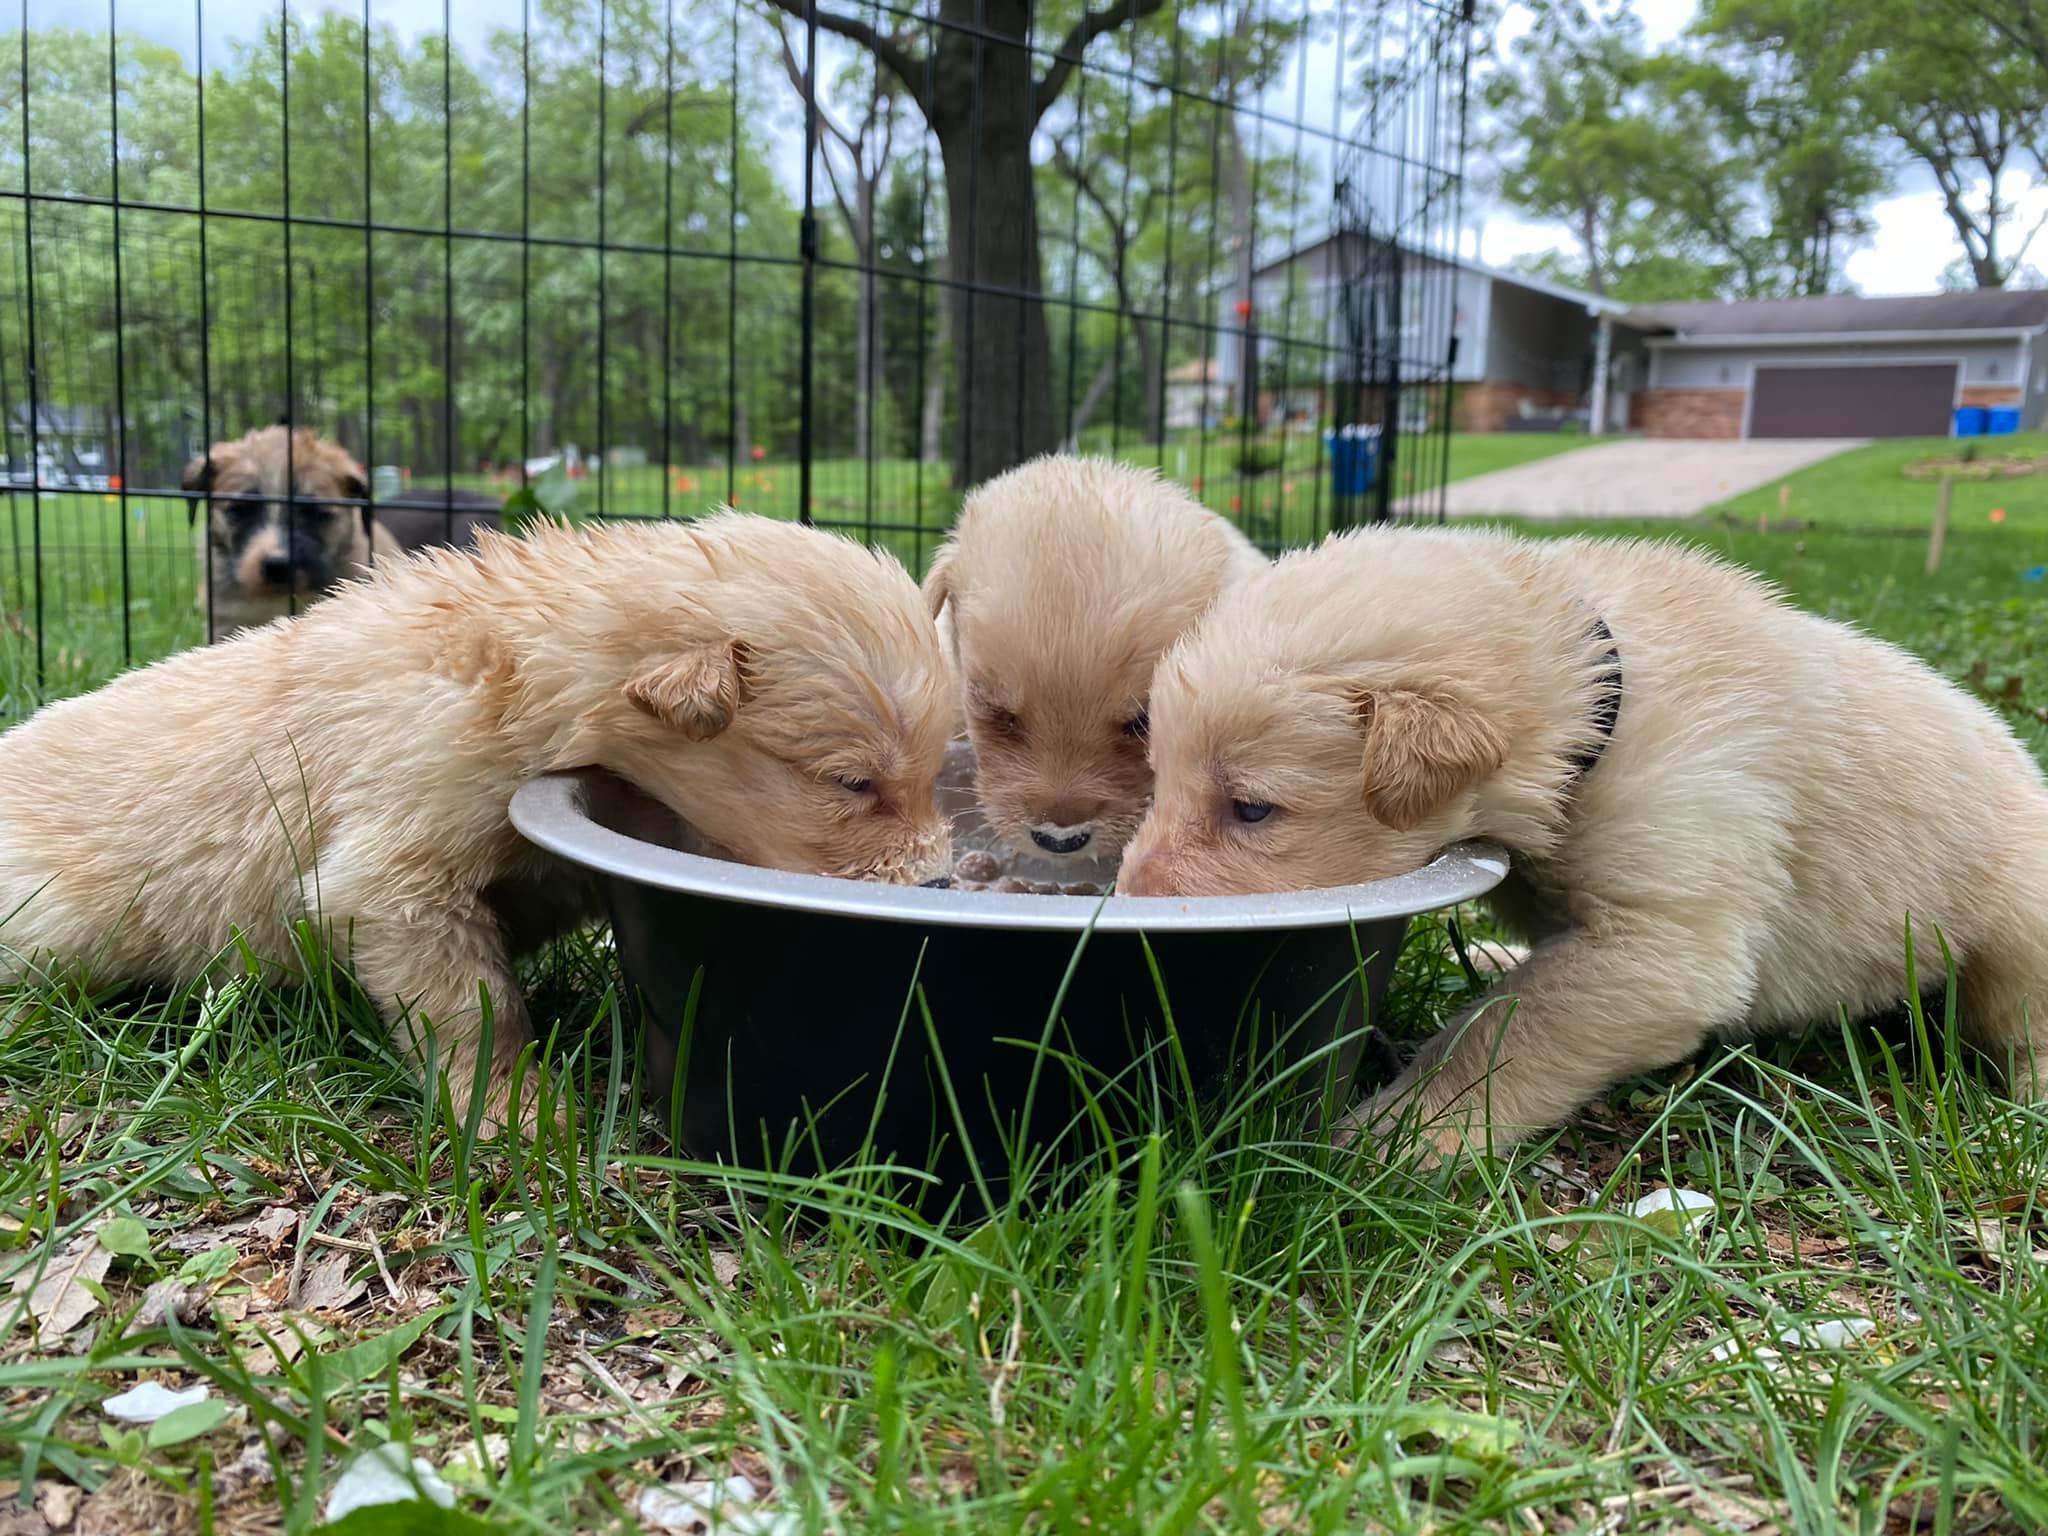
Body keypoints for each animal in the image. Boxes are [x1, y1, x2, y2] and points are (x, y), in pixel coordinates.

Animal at [0, 518, 954, 1130]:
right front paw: (513, 1112)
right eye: (854, 783)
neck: (519, 669)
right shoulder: (393, 875)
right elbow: (475, 1007)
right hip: (54, 928)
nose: (943, 881)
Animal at [1122, 528, 2048, 1155]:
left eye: (1252, 810)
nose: (1128, 903)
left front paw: (1395, 1135)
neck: (1600, 708)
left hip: (2019, 924)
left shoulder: (1663, 941)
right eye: (1156, 778)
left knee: (2023, 1022)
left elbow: (1503, 1034)